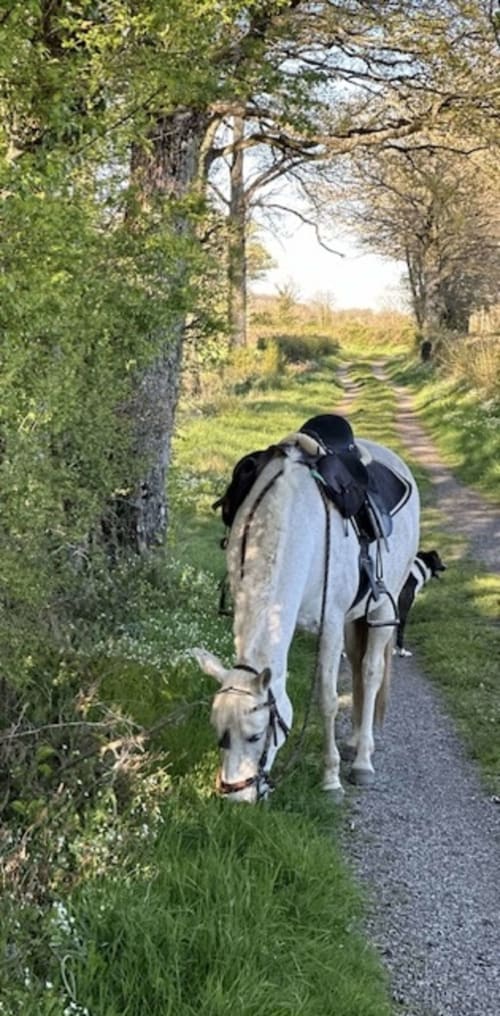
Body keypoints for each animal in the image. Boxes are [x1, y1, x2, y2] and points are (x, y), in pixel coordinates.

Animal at [193, 417, 420, 803]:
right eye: (218, 731)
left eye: (256, 735)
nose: (236, 798)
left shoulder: (329, 626)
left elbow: (327, 700)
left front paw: (331, 780)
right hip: (354, 620)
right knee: (357, 669)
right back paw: (354, 741)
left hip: (378, 614)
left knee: (370, 672)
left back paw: (363, 760)